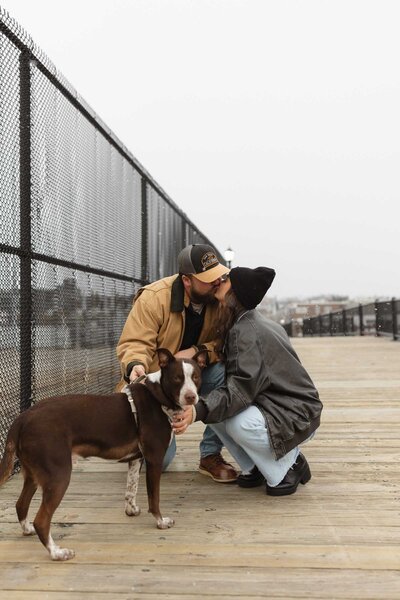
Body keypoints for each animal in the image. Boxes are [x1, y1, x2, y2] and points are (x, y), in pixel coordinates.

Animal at [0, 350, 206, 560]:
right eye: (177, 378)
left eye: (196, 377)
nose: (191, 397)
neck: (157, 396)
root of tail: (22, 417)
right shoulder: (154, 459)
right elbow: (153, 498)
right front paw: (161, 521)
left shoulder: (136, 458)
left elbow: (131, 489)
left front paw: (131, 510)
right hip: (58, 475)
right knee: (41, 520)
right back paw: (57, 552)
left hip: (33, 473)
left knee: (20, 505)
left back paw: (28, 530)